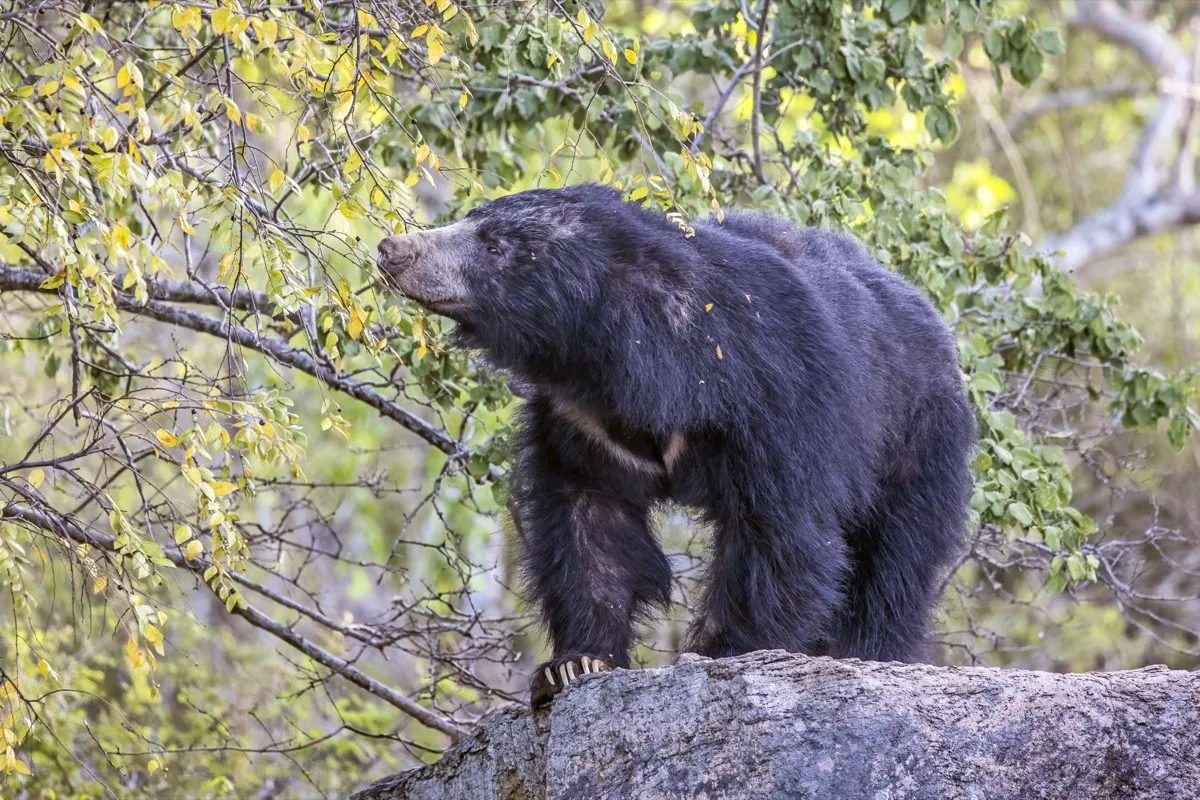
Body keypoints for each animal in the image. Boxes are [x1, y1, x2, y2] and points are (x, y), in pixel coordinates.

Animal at [376, 184, 975, 709]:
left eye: (494, 246)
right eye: (471, 220)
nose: (393, 248)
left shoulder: (776, 398)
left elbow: (779, 532)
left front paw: (721, 652)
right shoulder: (581, 423)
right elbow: (590, 523)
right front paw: (574, 664)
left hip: (917, 443)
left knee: (893, 564)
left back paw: (867, 651)